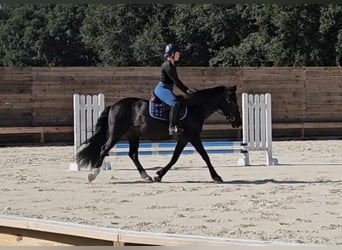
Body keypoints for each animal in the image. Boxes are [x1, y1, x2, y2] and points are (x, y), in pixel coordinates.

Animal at [77, 85, 243, 183]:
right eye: (232, 101)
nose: (238, 122)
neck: (195, 108)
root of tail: (113, 105)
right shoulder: (193, 136)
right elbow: (205, 156)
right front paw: (217, 176)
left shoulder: (184, 138)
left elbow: (175, 157)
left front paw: (159, 175)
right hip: (117, 133)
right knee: (104, 149)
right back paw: (93, 174)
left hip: (132, 135)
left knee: (133, 154)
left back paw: (146, 176)